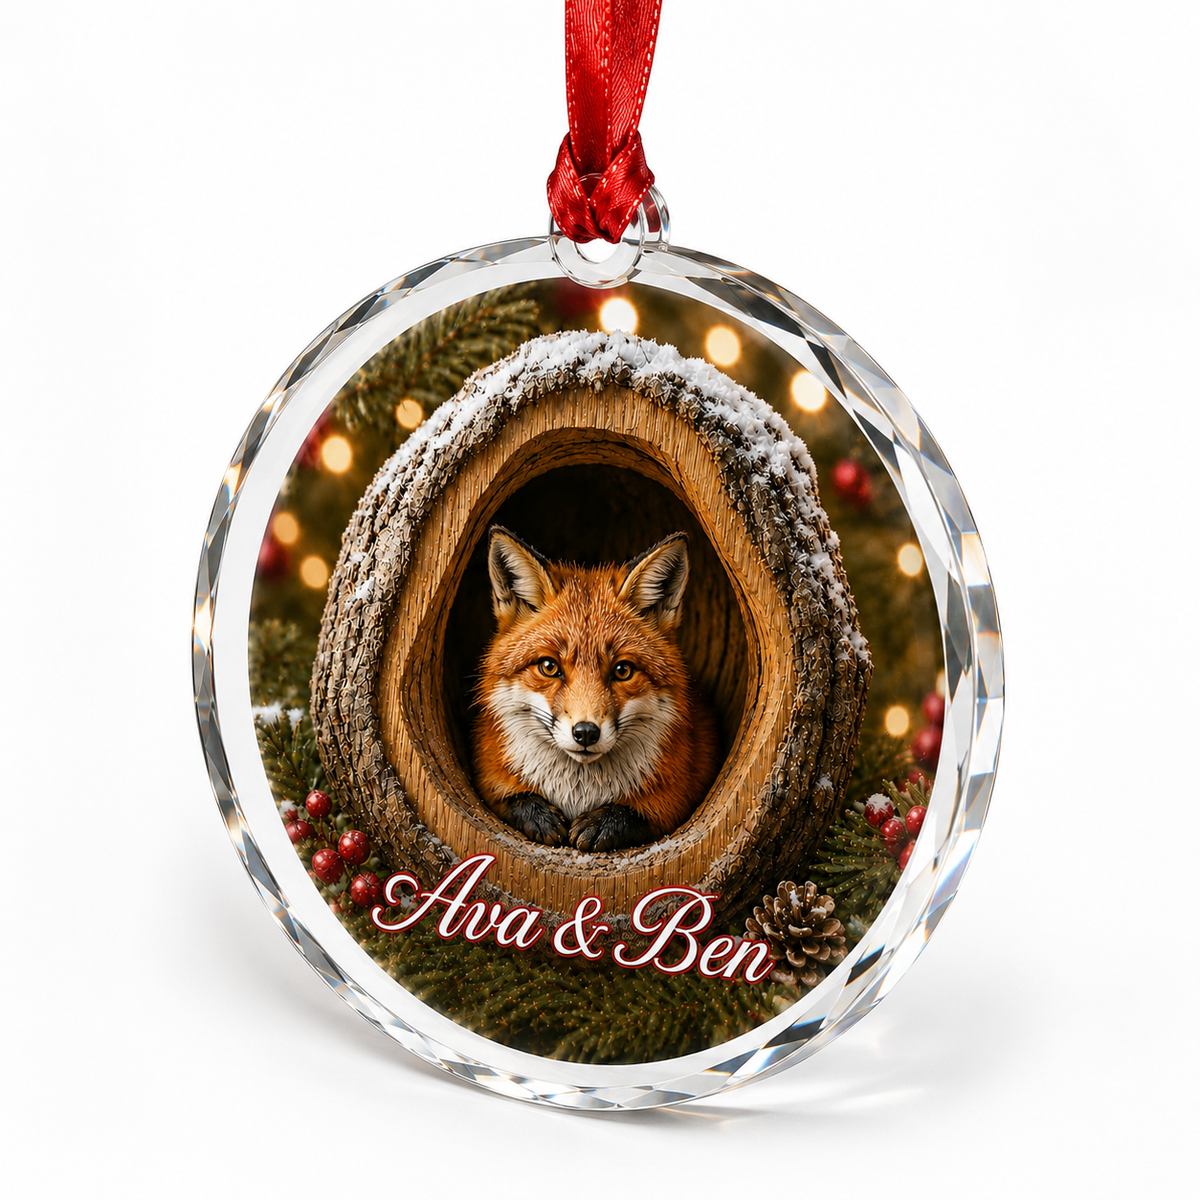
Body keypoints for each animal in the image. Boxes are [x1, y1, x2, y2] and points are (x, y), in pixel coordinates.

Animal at [472, 526, 721, 853]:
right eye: (549, 666)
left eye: (622, 671)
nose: (586, 733)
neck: (579, 794)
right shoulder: (489, 776)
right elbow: (508, 799)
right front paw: (539, 817)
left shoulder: (677, 796)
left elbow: (640, 814)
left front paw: (604, 824)